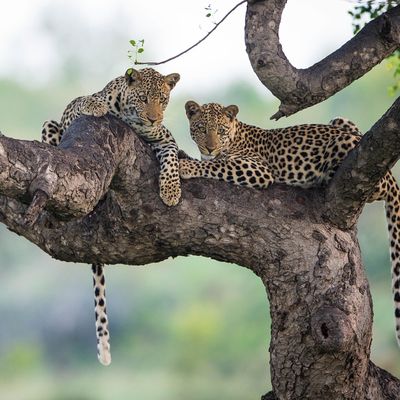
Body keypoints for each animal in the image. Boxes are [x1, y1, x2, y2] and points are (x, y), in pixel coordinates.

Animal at [41, 67, 181, 364]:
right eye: (143, 98)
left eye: (163, 100)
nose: (154, 117)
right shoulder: (71, 112)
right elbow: (84, 101)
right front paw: (96, 105)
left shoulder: (165, 138)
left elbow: (172, 158)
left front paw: (171, 190)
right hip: (50, 128)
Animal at [180, 99, 400, 344]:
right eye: (201, 128)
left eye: (220, 130)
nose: (210, 148)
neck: (235, 135)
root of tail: (391, 177)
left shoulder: (258, 168)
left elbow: (216, 166)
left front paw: (185, 166)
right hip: (341, 122)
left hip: (344, 146)